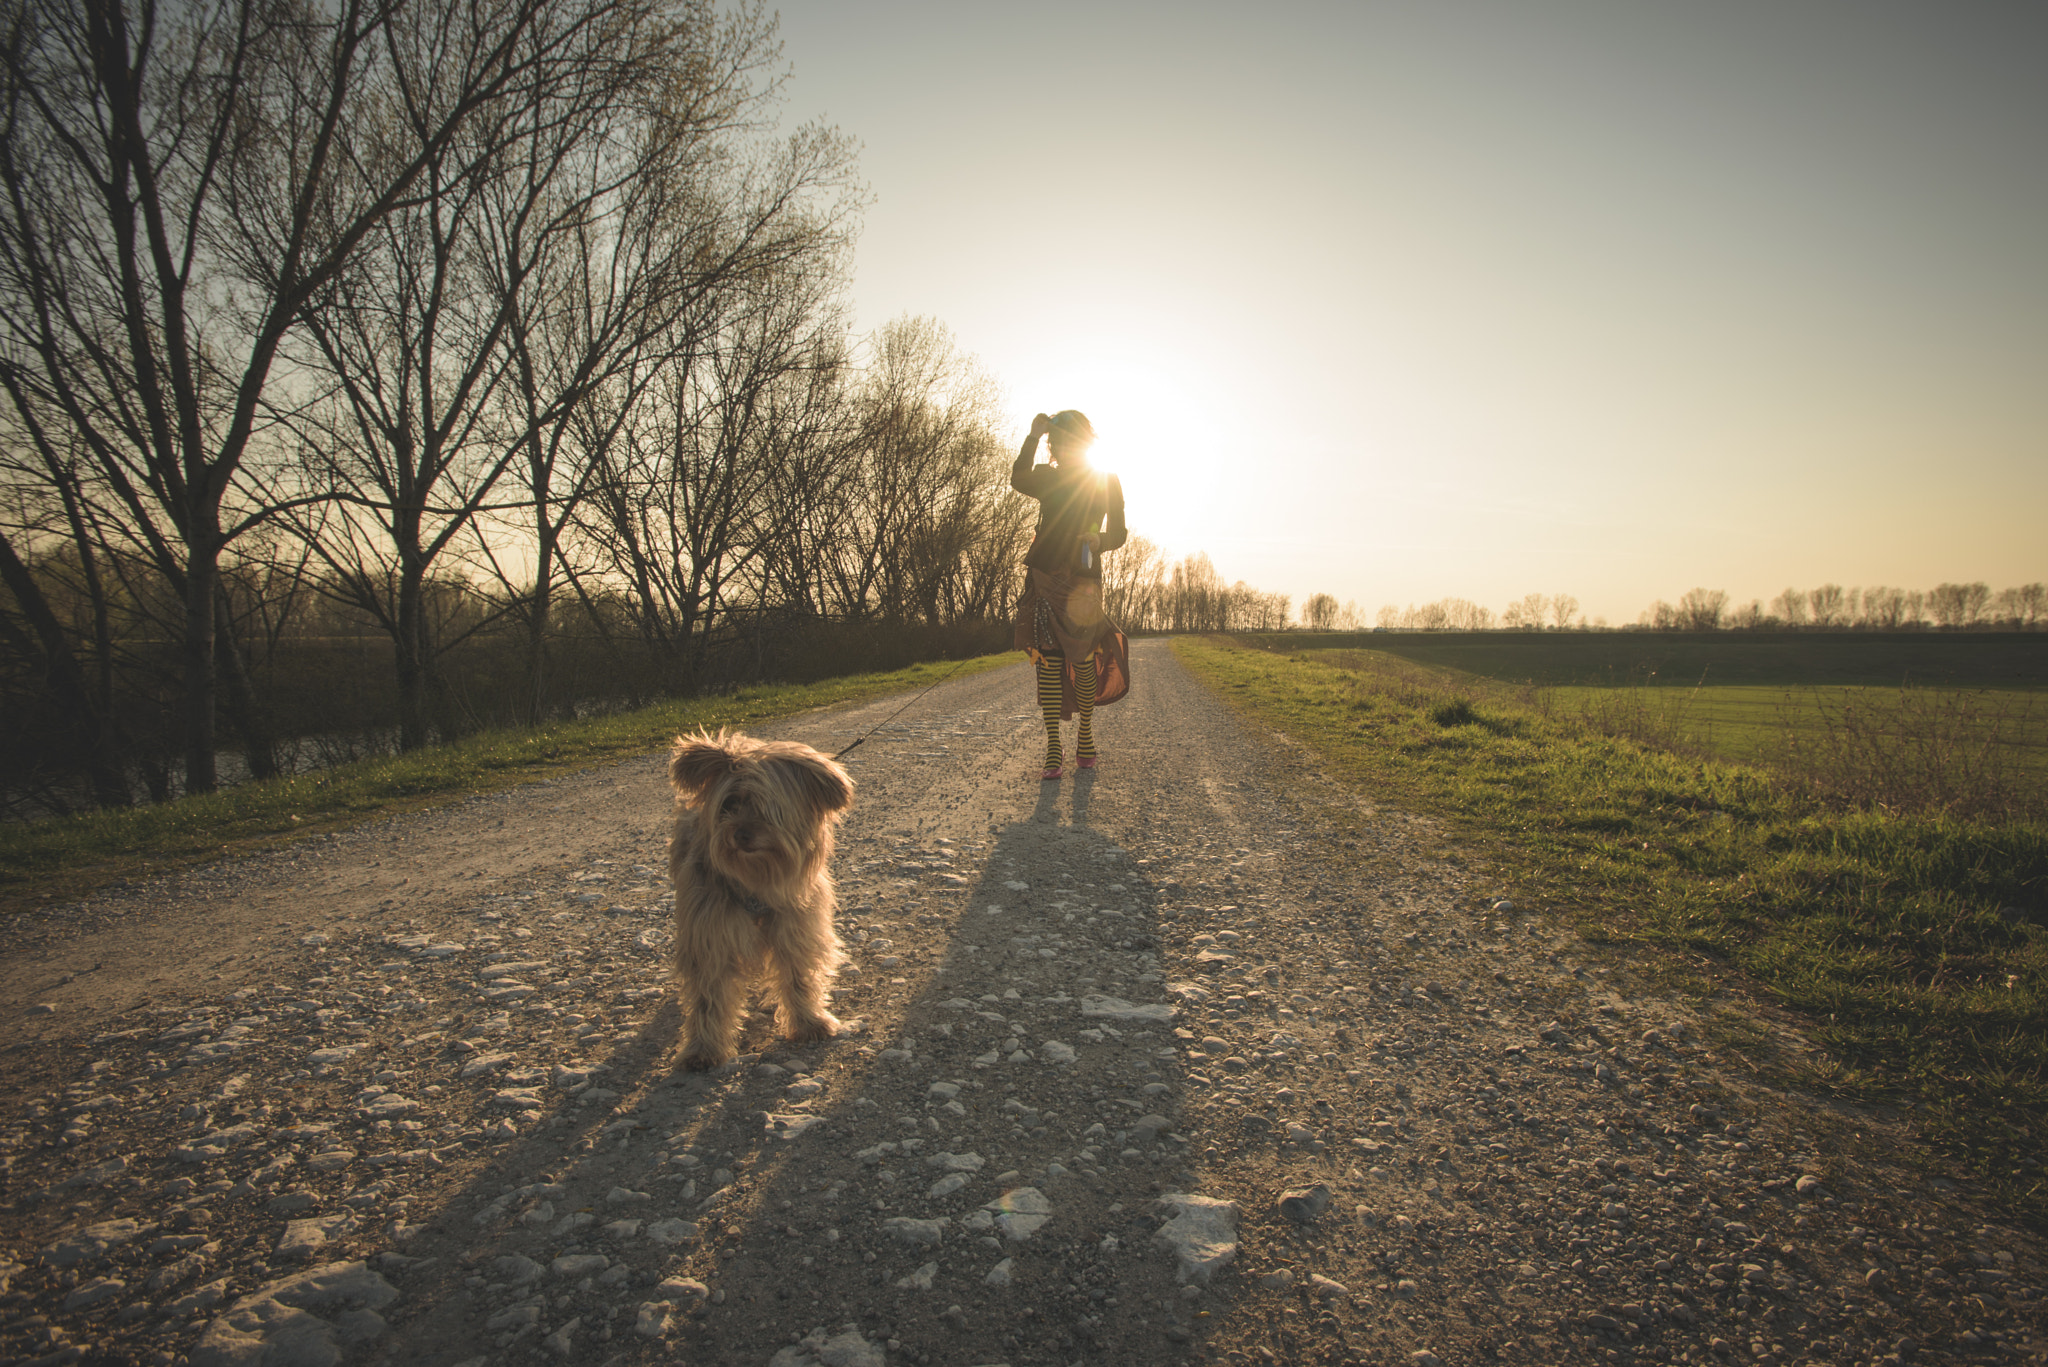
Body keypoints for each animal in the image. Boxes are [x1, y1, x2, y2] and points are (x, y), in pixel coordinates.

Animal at [667, 733, 851, 1073]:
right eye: (729, 804)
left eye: (770, 808)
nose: (741, 834)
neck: (756, 879)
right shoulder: (710, 934)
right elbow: (707, 997)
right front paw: (703, 1048)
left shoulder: (795, 927)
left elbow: (798, 977)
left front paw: (809, 1022)